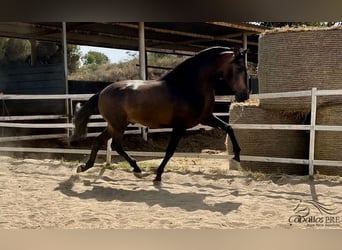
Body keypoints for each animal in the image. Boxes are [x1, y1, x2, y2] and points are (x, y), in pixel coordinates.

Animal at [71, 47, 248, 183]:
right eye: (239, 68)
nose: (244, 96)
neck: (189, 86)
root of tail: (102, 92)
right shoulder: (180, 126)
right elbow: (170, 151)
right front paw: (158, 175)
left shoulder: (205, 118)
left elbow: (228, 127)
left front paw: (237, 156)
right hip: (119, 125)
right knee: (115, 145)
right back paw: (137, 169)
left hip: (114, 125)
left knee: (98, 140)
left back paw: (84, 167)